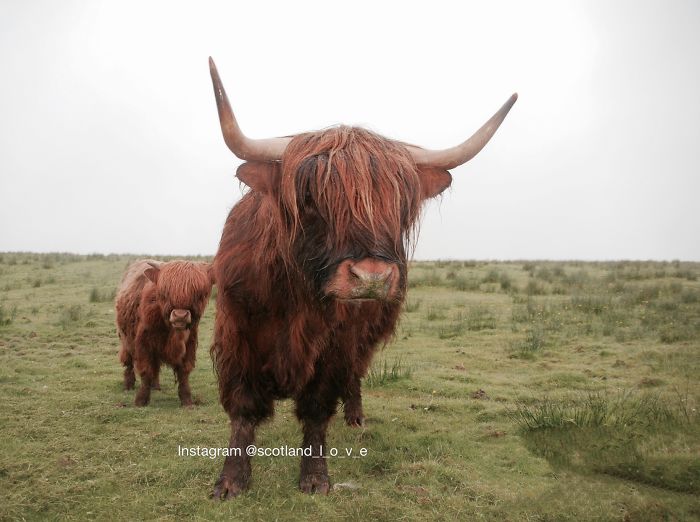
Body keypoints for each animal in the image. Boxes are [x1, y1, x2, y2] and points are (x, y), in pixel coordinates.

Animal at [116, 259, 213, 407]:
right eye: (164, 292)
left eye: (199, 294)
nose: (180, 316)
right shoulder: (143, 342)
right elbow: (145, 370)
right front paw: (141, 400)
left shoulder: (190, 343)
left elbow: (184, 372)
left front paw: (187, 400)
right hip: (126, 338)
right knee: (129, 362)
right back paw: (128, 385)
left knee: (155, 365)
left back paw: (155, 386)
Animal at [207, 57, 516, 498]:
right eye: (309, 197)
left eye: (402, 203)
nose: (372, 277)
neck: (295, 295)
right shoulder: (238, 333)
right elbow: (244, 407)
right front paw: (231, 481)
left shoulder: (337, 344)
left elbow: (318, 408)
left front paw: (315, 477)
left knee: (354, 375)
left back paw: (355, 417)